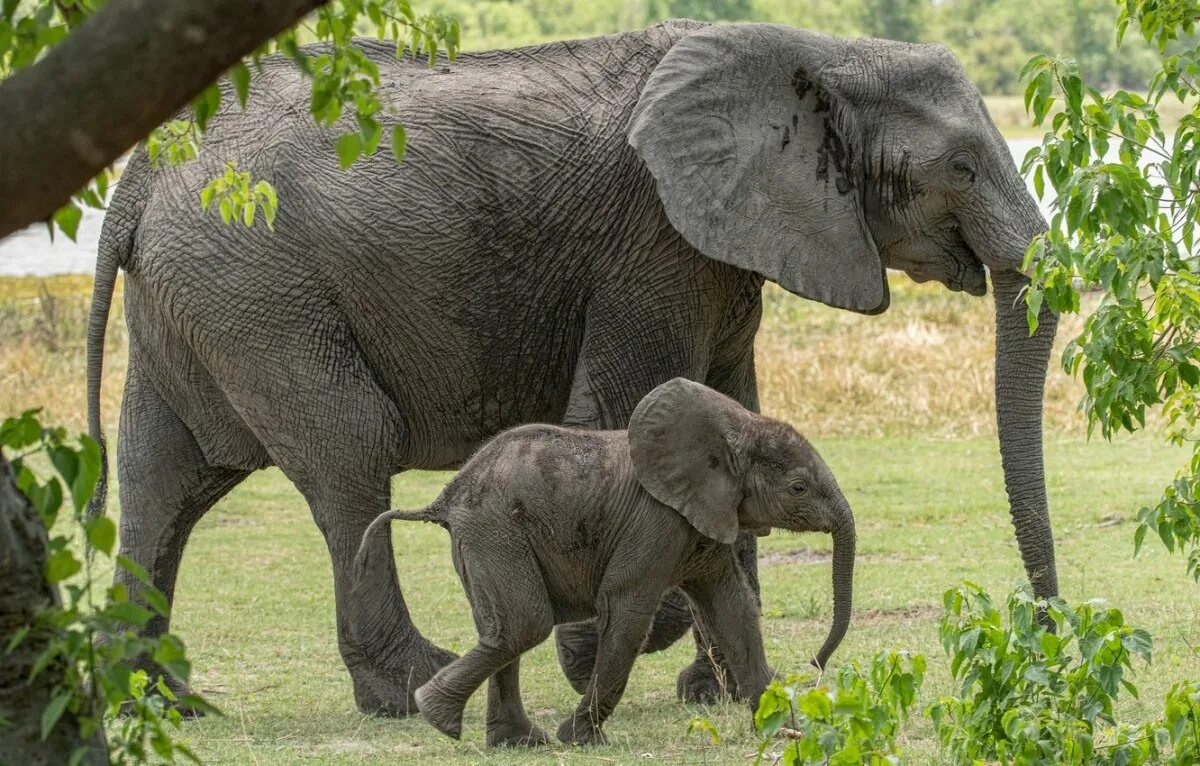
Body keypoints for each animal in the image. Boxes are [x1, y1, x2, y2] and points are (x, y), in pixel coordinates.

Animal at [350, 379, 859, 749]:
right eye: (798, 488)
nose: (813, 666)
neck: (736, 428)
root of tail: (447, 496)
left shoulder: (703, 518)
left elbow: (732, 606)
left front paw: (785, 730)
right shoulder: (656, 520)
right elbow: (628, 611)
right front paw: (581, 740)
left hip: (484, 538)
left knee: (500, 629)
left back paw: (517, 743)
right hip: (495, 531)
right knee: (522, 625)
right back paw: (437, 715)